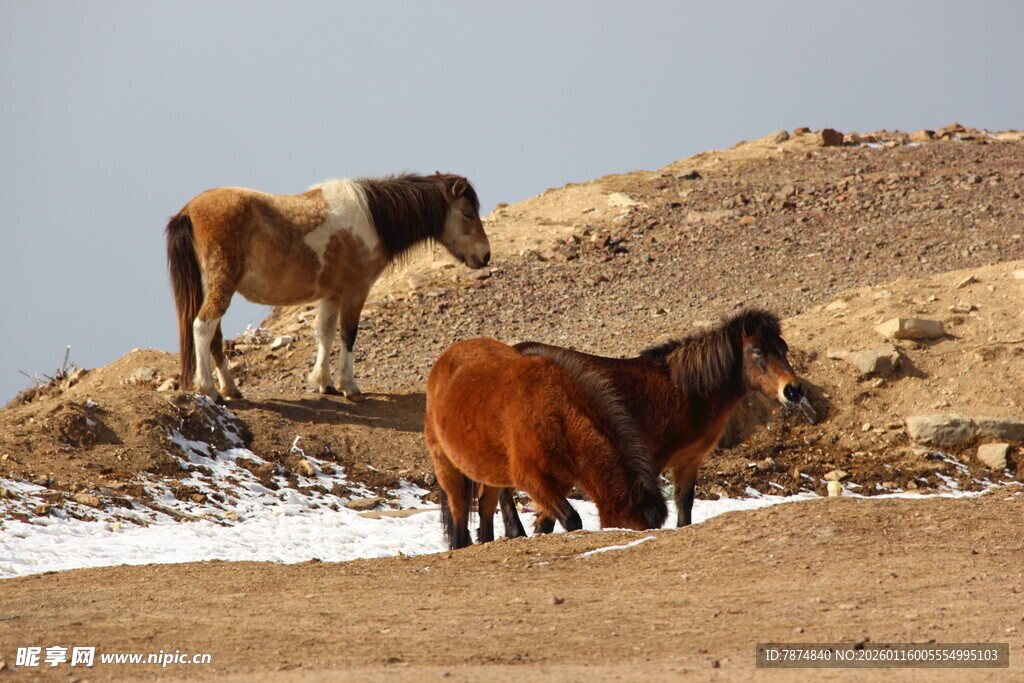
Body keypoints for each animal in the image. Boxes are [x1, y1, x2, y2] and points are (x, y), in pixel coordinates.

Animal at [166, 173, 490, 403]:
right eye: (468, 214)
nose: (485, 255)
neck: (371, 220)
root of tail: (188, 211)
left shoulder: (332, 295)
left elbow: (325, 333)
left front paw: (324, 383)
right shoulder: (356, 291)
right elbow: (348, 334)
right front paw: (350, 386)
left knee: (215, 337)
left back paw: (231, 390)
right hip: (221, 287)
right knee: (203, 327)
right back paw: (208, 389)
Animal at [424, 338, 668, 550]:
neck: (556, 413)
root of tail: (446, 358)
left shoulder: (559, 482)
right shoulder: (533, 480)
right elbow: (572, 519)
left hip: (488, 470)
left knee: (485, 506)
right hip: (445, 464)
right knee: (459, 508)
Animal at [485, 309, 815, 532]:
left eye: (783, 349)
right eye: (757, 351)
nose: (794, 390)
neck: (683, 390)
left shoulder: (689, 462)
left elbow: (684, 508)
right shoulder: (647, 464)